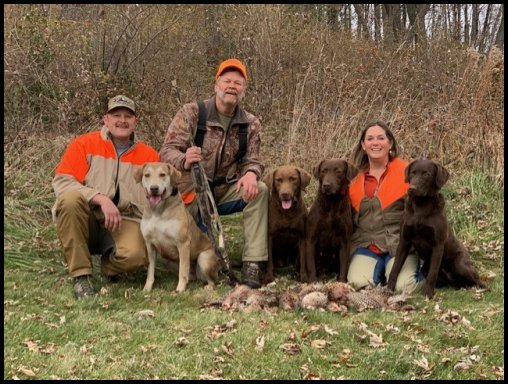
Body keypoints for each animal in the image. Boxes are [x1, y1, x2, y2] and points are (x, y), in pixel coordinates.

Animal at [133, 161, 218, 292]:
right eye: (147, 175)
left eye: (162, 174)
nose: (154, 188)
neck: (158, 210)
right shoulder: (150, 244)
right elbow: (150, 271)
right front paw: (147, 288)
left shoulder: (183, 243)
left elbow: (183, 271)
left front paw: (180, 289)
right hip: (169, 261)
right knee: (190, 276)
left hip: (204, 259)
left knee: (212, 279)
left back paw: (208, 286)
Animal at [388, 158, 484, 298]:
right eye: (412, 173)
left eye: (426, 174)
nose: (412, 189)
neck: (421, 207)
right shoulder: (404, 241)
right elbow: (395, 268)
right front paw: (388, 289)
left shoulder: (438, 245)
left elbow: (432, 274)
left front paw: (428, 295)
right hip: (426, 269)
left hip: (460, 265)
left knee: (478, 279)